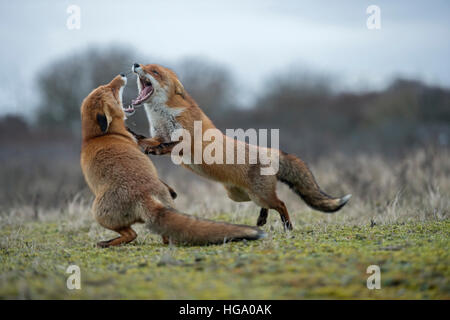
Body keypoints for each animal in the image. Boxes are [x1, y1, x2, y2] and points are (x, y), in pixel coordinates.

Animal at [79, 74, 266, 248]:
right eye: (111, 89)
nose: (122, 75)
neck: (95, 137)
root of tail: (143, 195)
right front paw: (173, 191)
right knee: (161, 235)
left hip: (97, 214)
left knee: (133, 234)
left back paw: (107, 243)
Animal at [126, 63, 352, 231]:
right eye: (146, 65)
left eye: (154, 71)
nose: (136, 64)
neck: (166, 118)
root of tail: (268, 151)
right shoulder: (159, 135)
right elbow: (150, 141)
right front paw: (137, 139)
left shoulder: (191, 143)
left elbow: (170, 146)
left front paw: (156, 150)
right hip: (240, 196)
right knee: (267, 205)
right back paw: (262, 219)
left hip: (258, 194)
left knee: (281, 204)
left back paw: (288, 227)